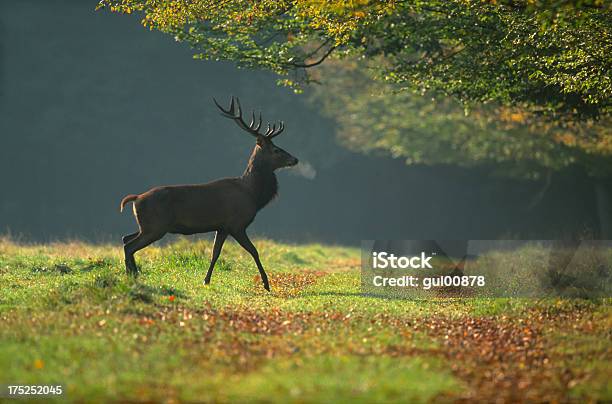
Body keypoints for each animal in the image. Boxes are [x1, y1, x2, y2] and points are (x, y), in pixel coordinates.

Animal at [117, 97, 298, 290]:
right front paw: (266, 283)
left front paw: (206, 280)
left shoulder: (222, 227)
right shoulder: (237, 224)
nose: (295, 159)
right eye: (276, 150)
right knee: (130, 245)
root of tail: (136, 199)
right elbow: (254, 251)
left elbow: (215, 253)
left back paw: (133, 274)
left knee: (125, 238)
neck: (253, 195)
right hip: (156, 227)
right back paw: (131, 275)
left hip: (147, 226)